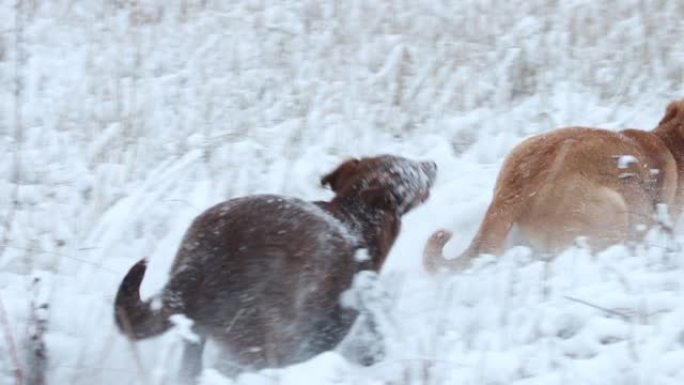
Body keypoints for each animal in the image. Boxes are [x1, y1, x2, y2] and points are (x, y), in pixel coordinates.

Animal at [114, 154, 436, 376]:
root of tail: (202, 263)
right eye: (411, 170)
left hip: (199, 334)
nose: (432, 164)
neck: (354, 217)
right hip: (266, 332)